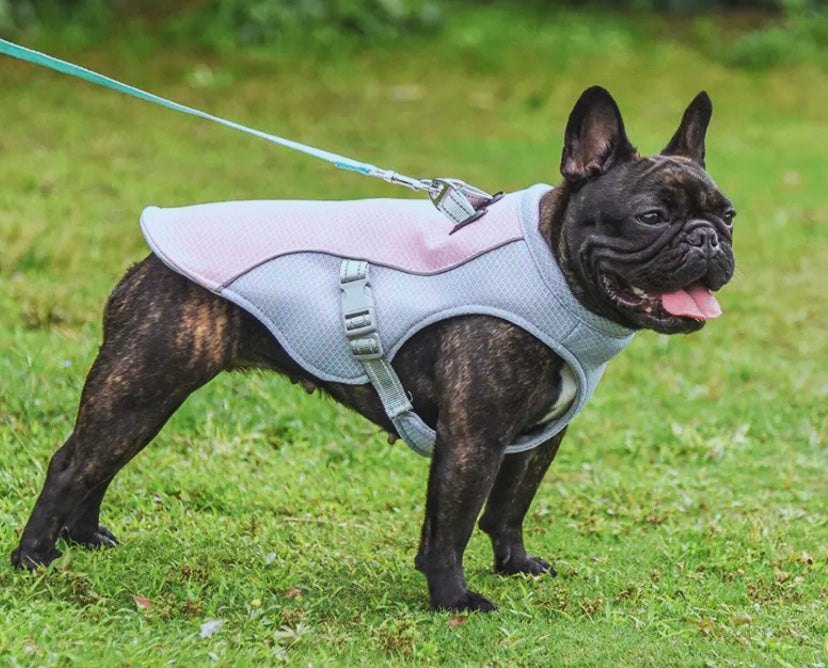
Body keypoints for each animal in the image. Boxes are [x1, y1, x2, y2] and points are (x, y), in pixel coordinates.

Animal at [11, 87, 736, 612]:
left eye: (728, 215)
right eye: (651, 217)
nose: (708, 238)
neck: (552, 268)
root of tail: (147, 254)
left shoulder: (535, 440)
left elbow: (507, 508)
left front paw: (514, 565)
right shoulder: (473, 438)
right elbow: (451, 524)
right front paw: (453, 600)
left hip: (147, 395)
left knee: (102, 464)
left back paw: (84, 537)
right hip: (143, 384)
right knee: (72, 462)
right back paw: (34, 559)